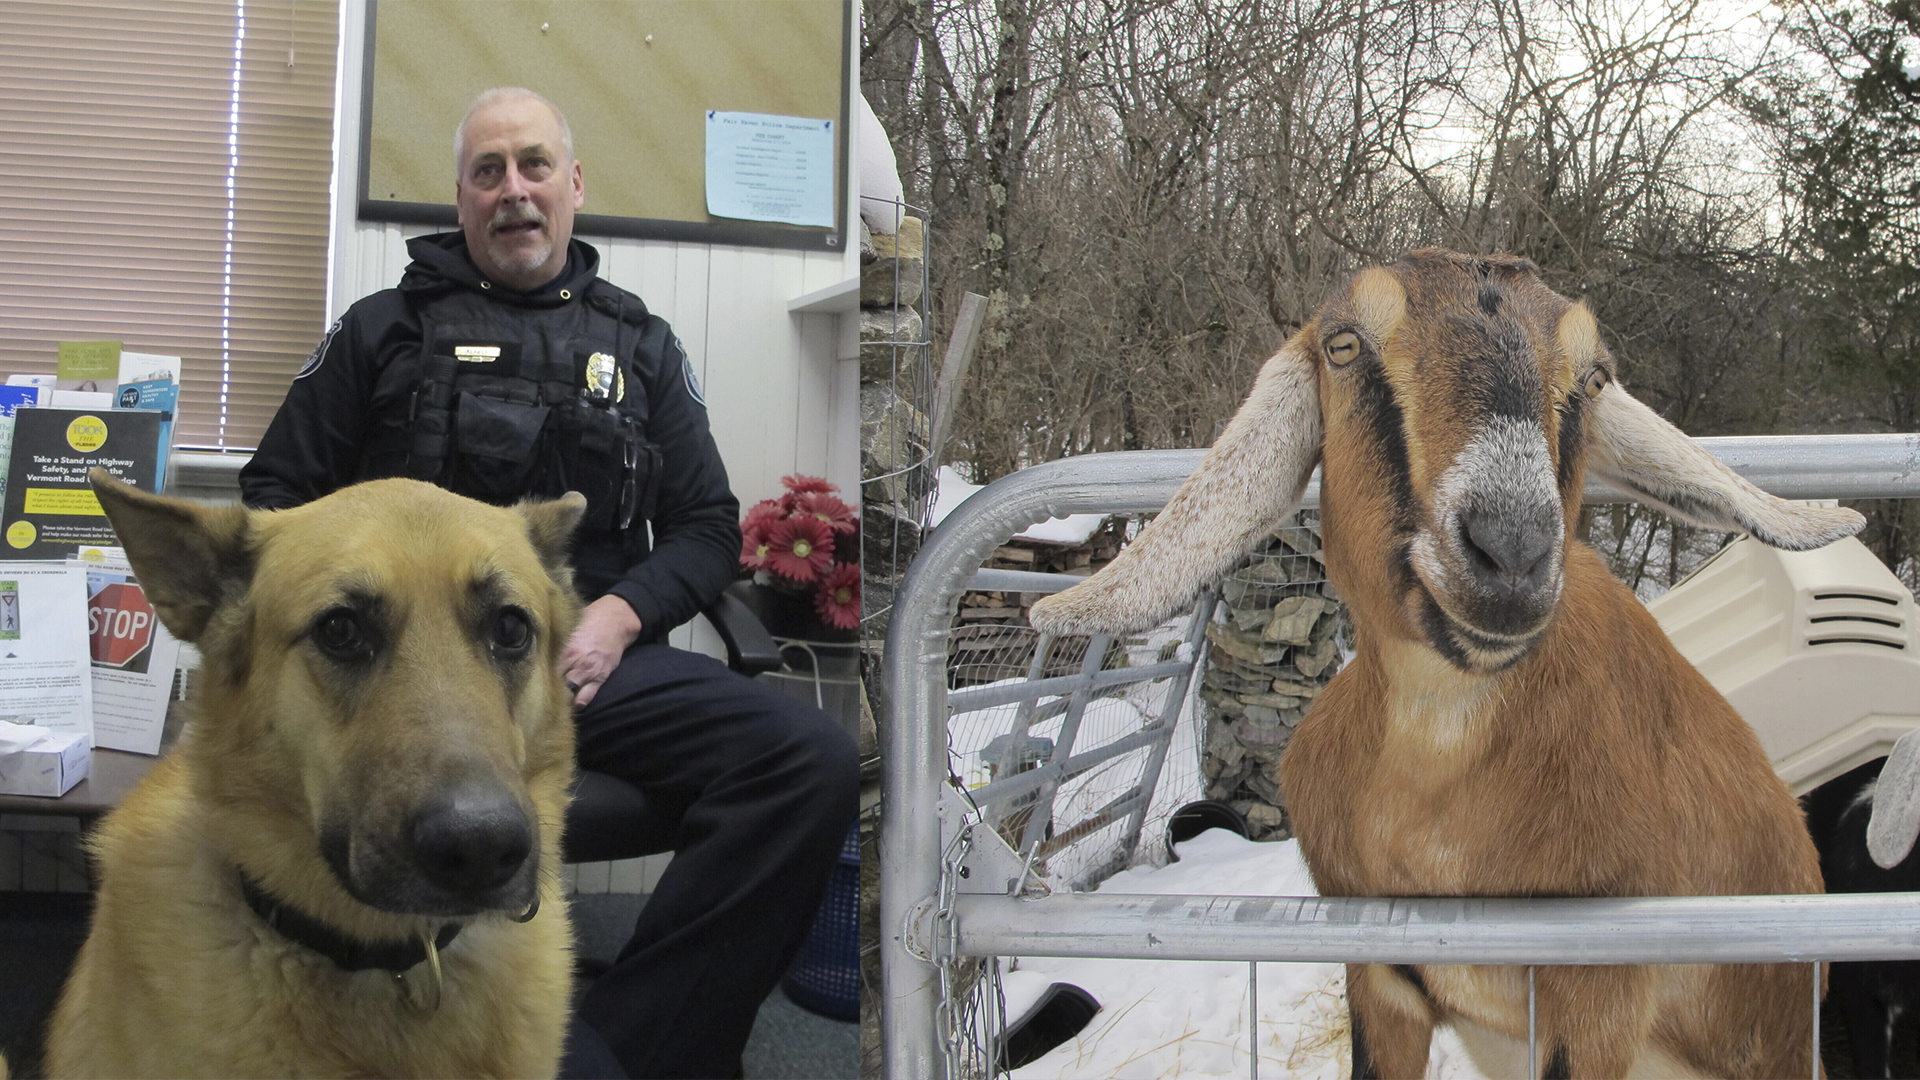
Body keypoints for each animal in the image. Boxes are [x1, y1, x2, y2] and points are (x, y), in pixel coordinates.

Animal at [1031, 250, 1863, 1078]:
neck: (1430, 784)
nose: (1512, 551)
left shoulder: (1603, 992)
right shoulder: (1379, 972)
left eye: (1594, 377)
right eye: (1343, 345)